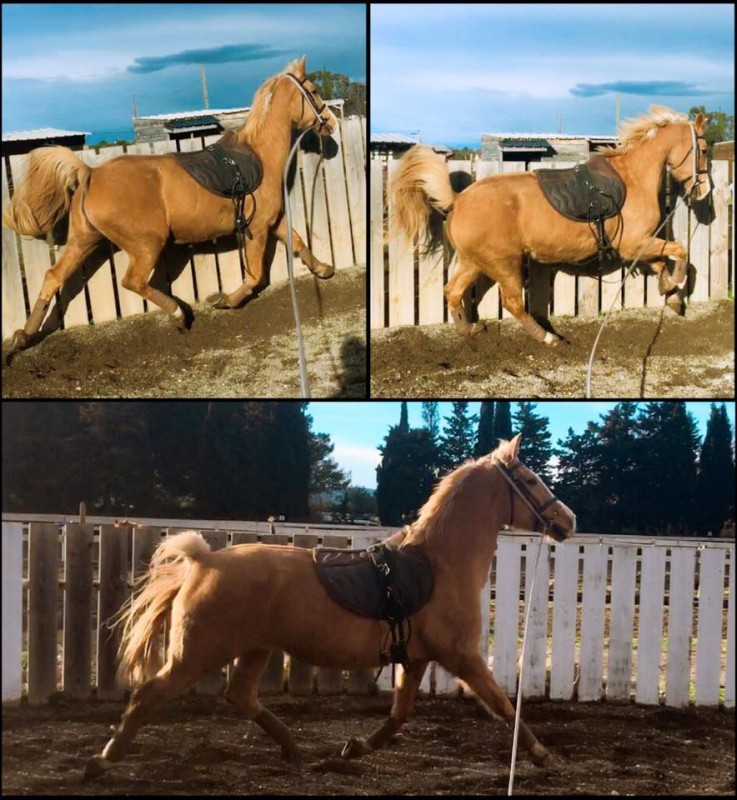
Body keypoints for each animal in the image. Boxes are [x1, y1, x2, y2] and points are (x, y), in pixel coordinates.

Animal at [2, 56, 338, 356]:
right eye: (313, 90)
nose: (332, 123)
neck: (259, 156)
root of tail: (91, 174)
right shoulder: (257, 227)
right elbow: (255, 276)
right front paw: (225, 300)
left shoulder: (273, 219)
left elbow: (298, 241)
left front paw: (323, 268)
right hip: (146, 244)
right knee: (133, 281)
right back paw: (178, 313)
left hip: (84, 240)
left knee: (53, 277)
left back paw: (24, 336)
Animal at [83, 434, 576, 781]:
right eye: (530, 480)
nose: (568, 520)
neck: (438, 564)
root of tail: (204, 560)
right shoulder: (463, 657)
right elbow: (505, 706)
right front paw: (543, 755)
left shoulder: (415, 659)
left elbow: (398, 717)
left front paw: (352, 749)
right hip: (196, 654)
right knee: (149, 695)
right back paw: (101, 762)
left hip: (255, 649)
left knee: (239, 695)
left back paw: (294, 751)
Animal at [390, 106, 710, 343]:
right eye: (705, 149)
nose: (705, 191)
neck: (631, 179)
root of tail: (458, 200)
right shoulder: (633, 244)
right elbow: (680, 252)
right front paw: (676, 284)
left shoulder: (638, 245)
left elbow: (661, 263)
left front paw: (671, 294)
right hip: (504, 263)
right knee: (512, 302)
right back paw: (547, 337)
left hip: (474, 262)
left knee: (453, 291)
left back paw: (468, 329)